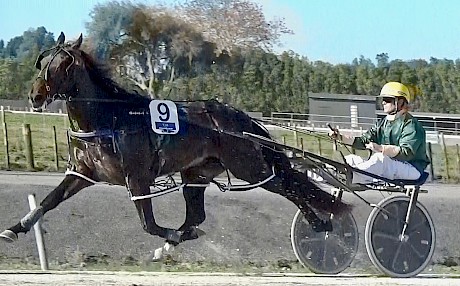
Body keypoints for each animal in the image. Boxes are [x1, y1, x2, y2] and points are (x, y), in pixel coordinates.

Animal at [0, 32, 346, 258]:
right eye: (43, 61)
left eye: (65, 64)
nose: (35, 96)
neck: (108, 118)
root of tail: (239, 117)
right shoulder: (82, 174)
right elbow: (48, 202)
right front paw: (14, 229)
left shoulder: (137, 178)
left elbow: (149, 224)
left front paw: (169, 235)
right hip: (196, 174)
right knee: (197, 215)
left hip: (248, 166)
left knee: (289, 187)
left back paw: (319, 222)